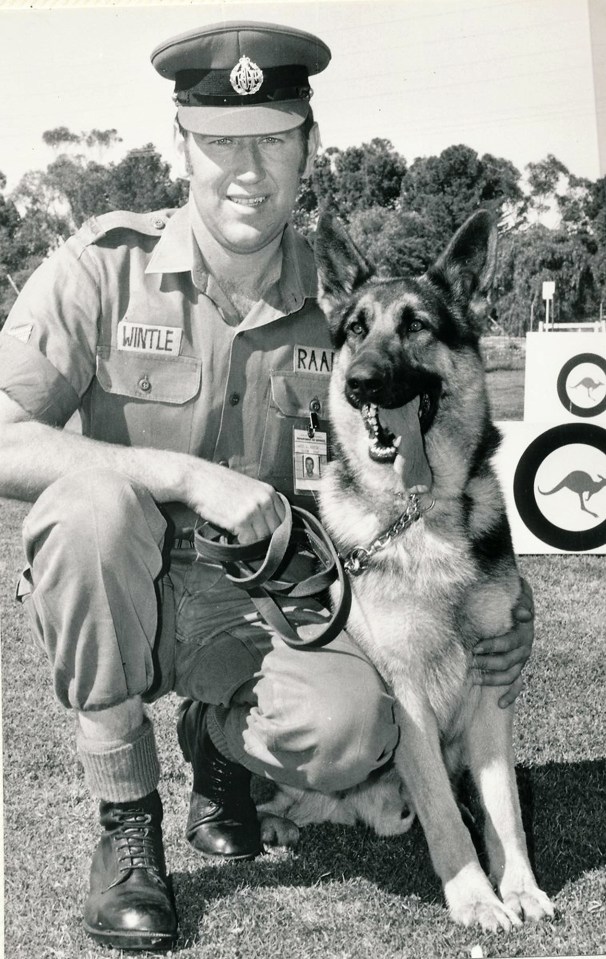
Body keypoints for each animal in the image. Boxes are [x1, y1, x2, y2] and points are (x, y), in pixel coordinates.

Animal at [262, 212, 556, 928]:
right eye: (356, 329)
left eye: (417, 324)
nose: (360, 383)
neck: (417, 515)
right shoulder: (408, 697)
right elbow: (447, 817)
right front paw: (475, 897)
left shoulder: (491, 691)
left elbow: (503, 806)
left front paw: (519, 887)